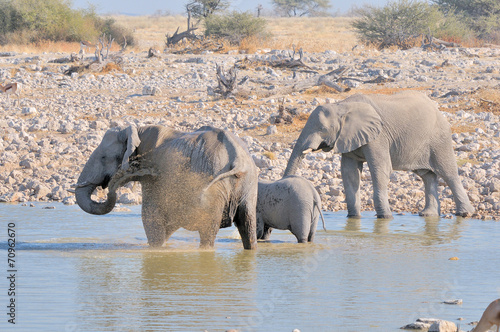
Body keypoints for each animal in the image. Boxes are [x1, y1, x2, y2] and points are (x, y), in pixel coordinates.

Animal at [77, 124, 262, 249]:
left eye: (103, 157)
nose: (111, 185)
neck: (138, 131)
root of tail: (238, 158)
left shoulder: (155, 176)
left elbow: (150, 218)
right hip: (248, 185)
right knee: (248, 226)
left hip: (215, 187)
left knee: (208, 231)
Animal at [284, 92, 474, 219]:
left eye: (322, 129)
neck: (342, 106)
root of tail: (438, 110)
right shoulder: (348, 138)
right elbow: (350, 173)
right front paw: (353, 218)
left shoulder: (378, 136)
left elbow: (381, 169)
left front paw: (385, 217)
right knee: (427, 176)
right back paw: (428, 215)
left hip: (439, 139)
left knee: (448, 173)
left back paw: (465, 213)